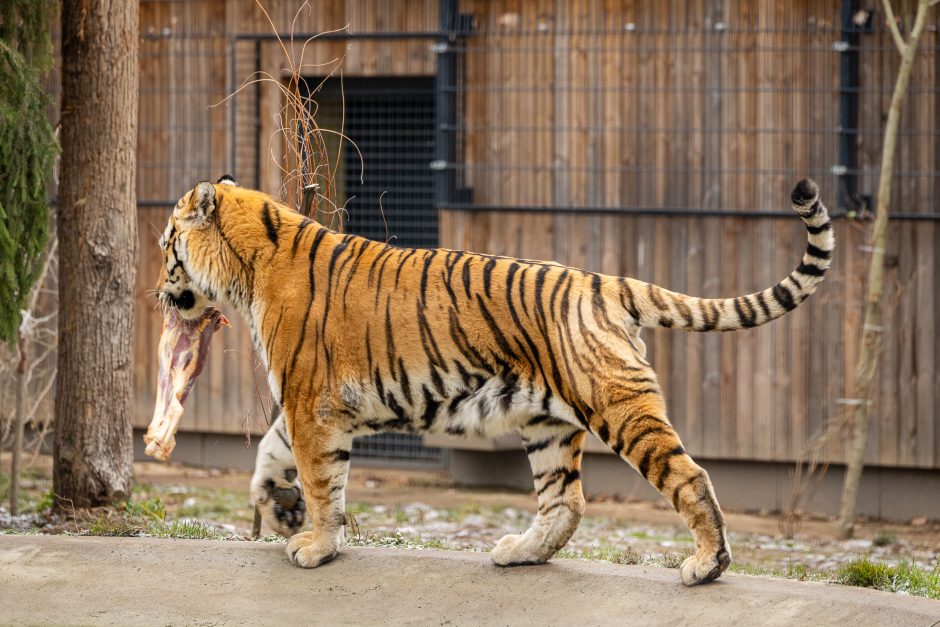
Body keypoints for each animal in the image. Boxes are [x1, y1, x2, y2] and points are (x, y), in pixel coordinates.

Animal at [158, 174, 832, 588]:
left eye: (167, 242)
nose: (159, 292)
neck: (250, 265)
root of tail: (603, 282)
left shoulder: (310, 404)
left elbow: (324, 484)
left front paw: (314, 546)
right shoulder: (309, 407)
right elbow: (274, 454)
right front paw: (274, 501)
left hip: (619, 407)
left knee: (688, 476)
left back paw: (707, 564)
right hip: (546, 423)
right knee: (566, 502)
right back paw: (518, 553)